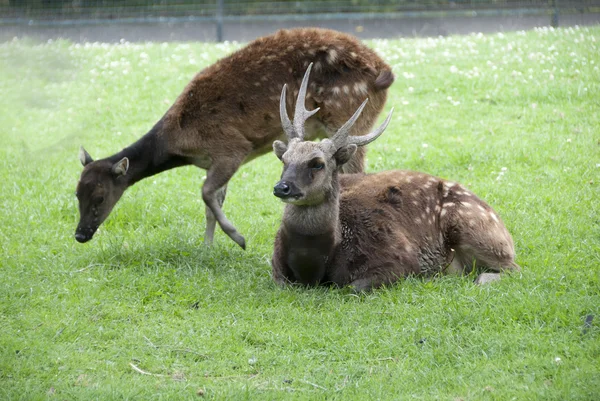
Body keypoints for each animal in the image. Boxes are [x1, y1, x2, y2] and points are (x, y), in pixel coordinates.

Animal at [74, 27, 394, 247]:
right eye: (76, 193)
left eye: (100, 196)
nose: (79, 234)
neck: (179, 141)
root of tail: (385, 73)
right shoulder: (214, 161)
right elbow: (212, 202)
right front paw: (207, 247)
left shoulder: (230, 148)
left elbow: (205, 193)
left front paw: (237, 238)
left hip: (349, 118)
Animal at [272, 66, 520, 290]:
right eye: (284, 159)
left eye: (318, 163)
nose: (281, 187)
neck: (314, 267)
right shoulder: (276, 268)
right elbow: (282, 283)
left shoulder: (400, 258)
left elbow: (353, 287)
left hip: (472, 227)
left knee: (512, 268)